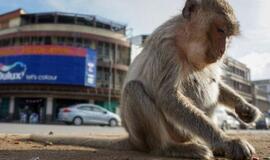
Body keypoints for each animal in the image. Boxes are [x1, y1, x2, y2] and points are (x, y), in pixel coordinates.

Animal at [29, 0, 262, 159]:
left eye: (228, 35)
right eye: (220, 29)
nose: (223, 50)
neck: (186, 40)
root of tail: (132, 138)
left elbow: (217, 84)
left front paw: (246, 109)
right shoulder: (167, 48)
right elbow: (168, 97)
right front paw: (227, 141)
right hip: (161, 133)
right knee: (134, 89)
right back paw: (169, 148)